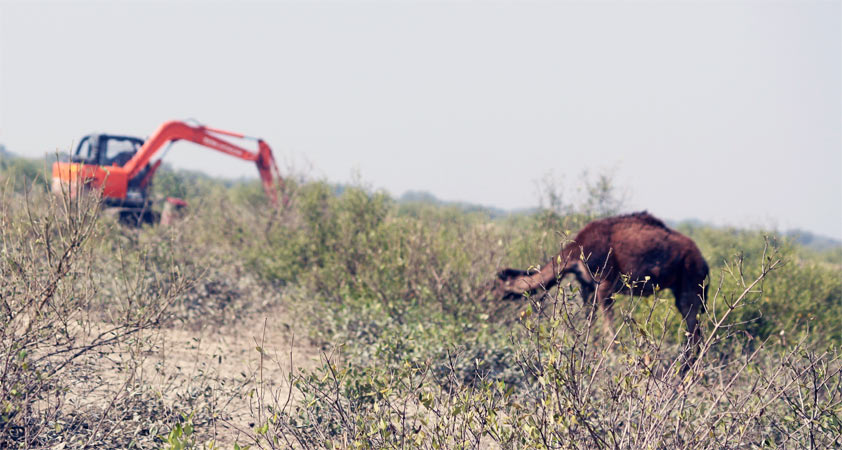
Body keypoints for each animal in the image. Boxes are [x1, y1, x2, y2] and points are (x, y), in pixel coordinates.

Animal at [488, 211, 704, 362]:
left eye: (496, 284)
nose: (491, 298)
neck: (574, 255)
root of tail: (703, 261)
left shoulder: (605, 282)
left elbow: (608, 326)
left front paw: (611, 357)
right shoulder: (586, 285)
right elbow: (589, 320)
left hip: (690, 277)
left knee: (692, 325)